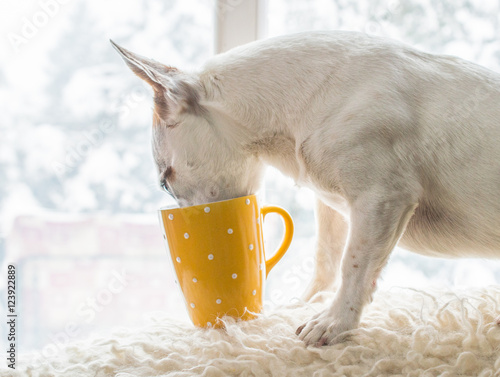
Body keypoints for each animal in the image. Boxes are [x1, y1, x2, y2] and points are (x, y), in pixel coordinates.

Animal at [112, 30, 500, 346]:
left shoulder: (381, 198)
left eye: (164, 182)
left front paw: (336, 323)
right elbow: (327, 258)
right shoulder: (334, 206)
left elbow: (354, 264)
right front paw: (308, 303)